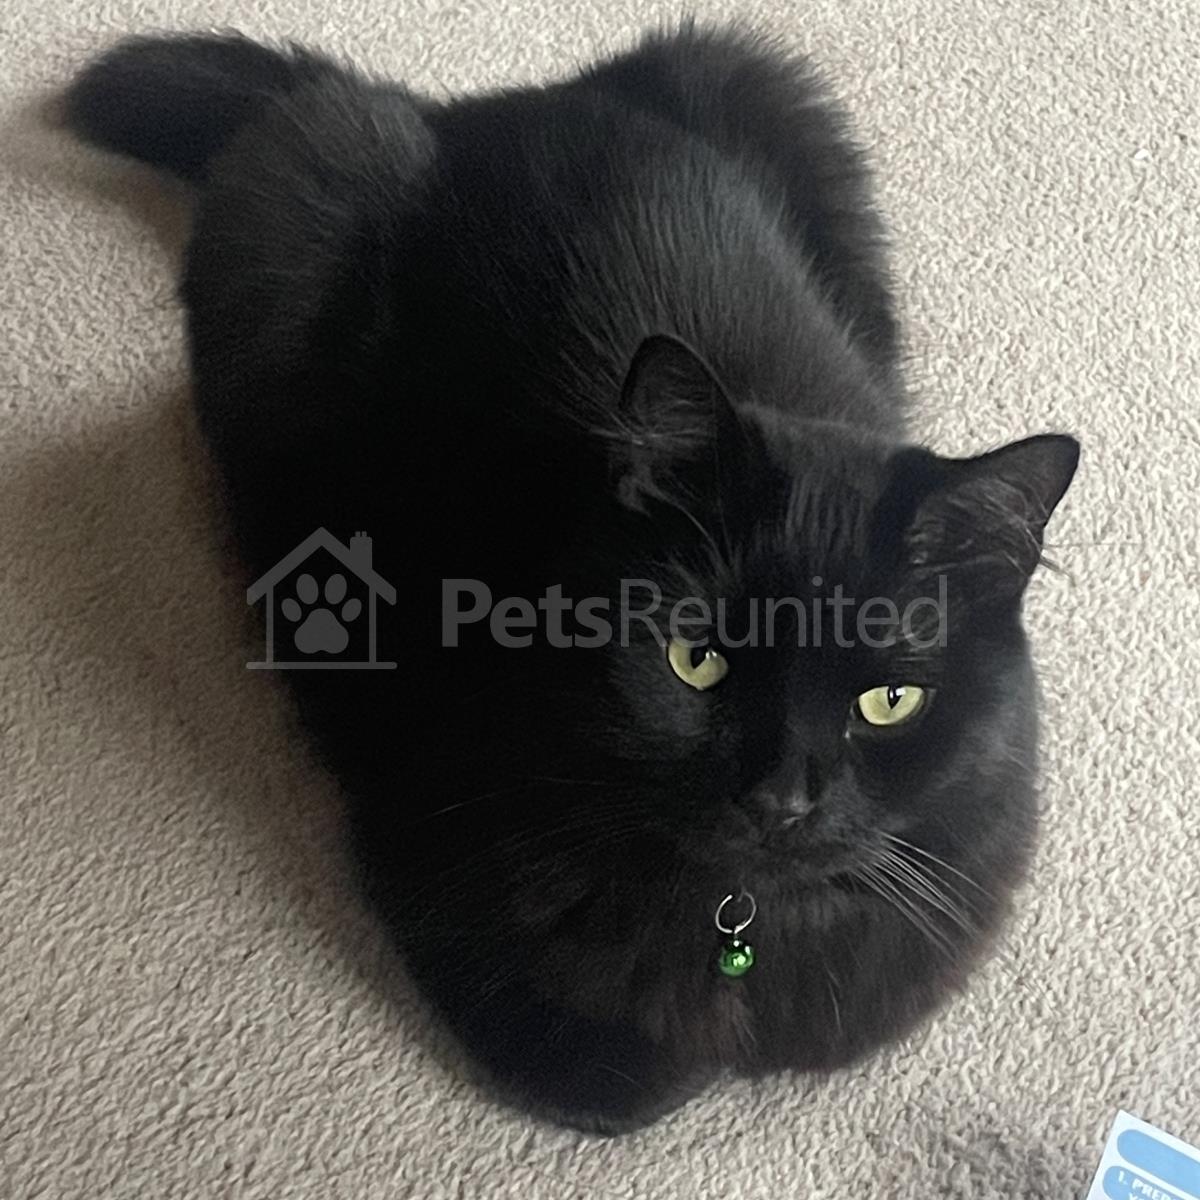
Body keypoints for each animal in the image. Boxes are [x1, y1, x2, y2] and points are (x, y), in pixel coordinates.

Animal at [65, 23, 1079, 1134]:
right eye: (694, 661)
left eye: (890, 701)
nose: (781, 800)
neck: (738, 918)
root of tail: (467, 109)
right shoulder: (425, 838)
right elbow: (617, 1079)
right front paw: (676, 1062)